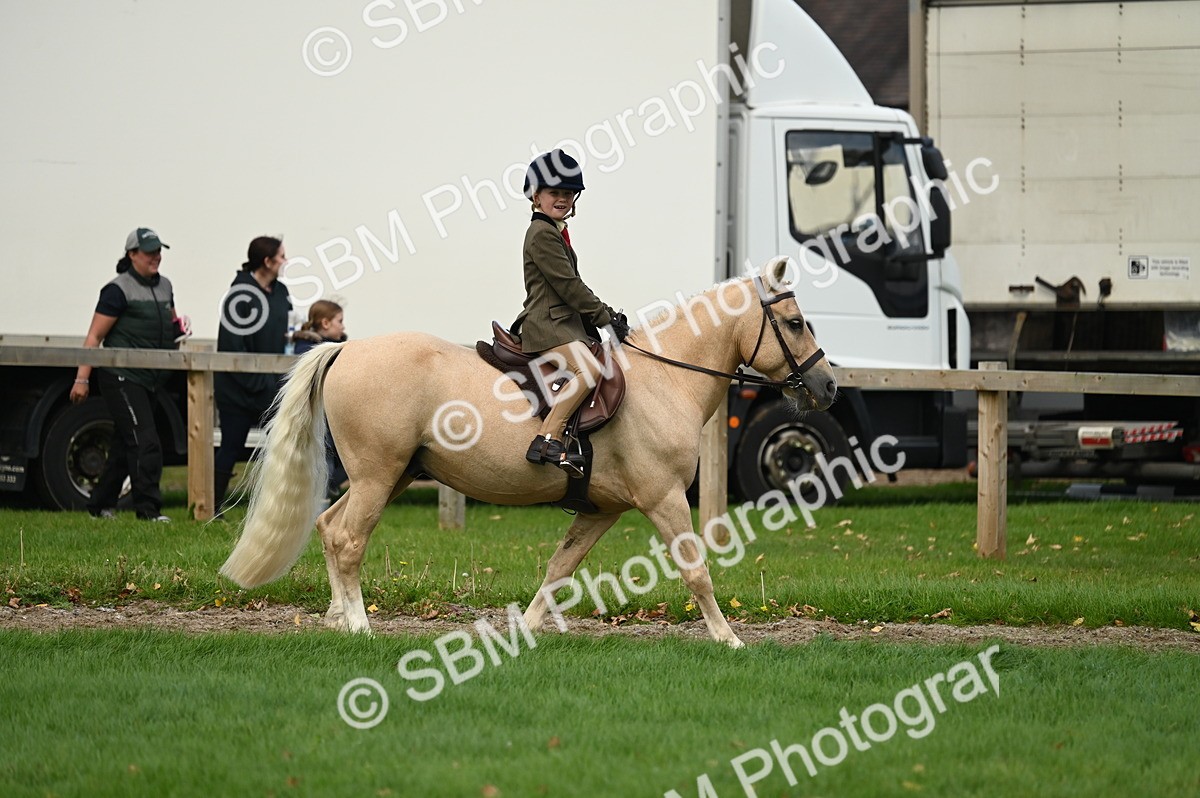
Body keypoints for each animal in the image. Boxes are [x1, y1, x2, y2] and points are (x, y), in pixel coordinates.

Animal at [220, 257, 837, 648]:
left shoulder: (602, 510)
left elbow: (559, 569)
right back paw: (359, 626)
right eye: (795, 323)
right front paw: (729, 638)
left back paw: (333, 619)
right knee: (349, 540)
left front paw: (523, 632)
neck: (665, 379)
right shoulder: (663, 499)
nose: (828, 387)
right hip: (377, 476)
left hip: (392, 476)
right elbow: (696, 570)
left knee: (328, 527)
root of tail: (346, 349)